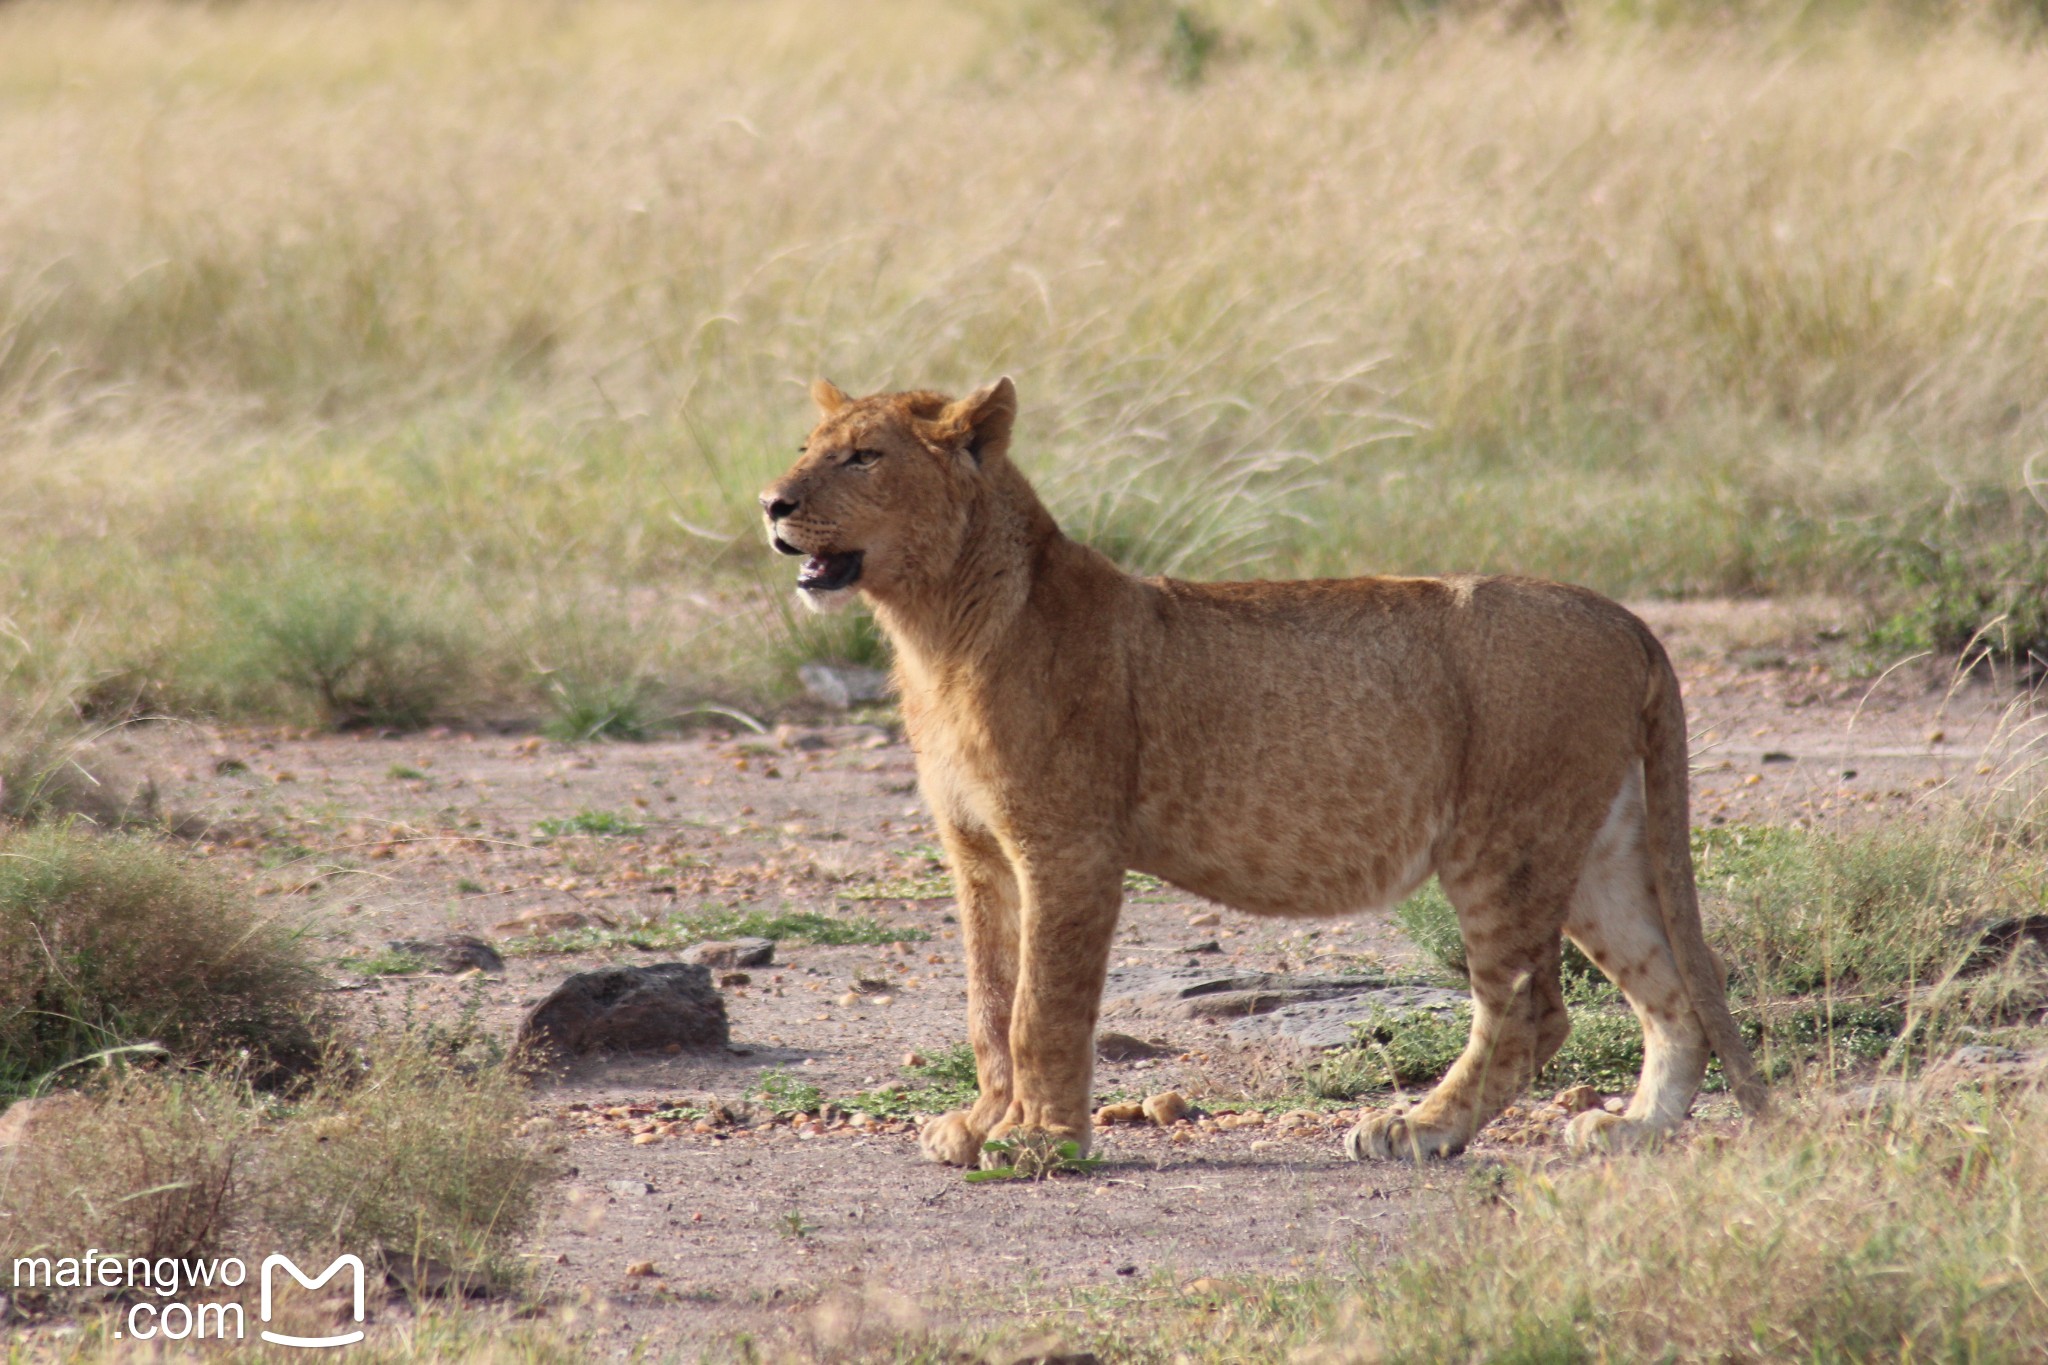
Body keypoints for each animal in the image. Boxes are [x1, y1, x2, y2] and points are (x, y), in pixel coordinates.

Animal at [761, 378, 1769, 1170]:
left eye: (864, 457)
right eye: (806, 447)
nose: (771, 502)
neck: (938, 630)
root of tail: (1624, 616)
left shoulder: (1068, 848)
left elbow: (1041, 1002)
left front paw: (1041, 1140)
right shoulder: (977, 853)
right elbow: (987, 997)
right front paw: (978, 1125)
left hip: (1504, 841)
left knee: (1529, 1007)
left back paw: (1418, 1129)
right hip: (1596, 845)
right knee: (1674, 984)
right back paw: (1634, 1128)